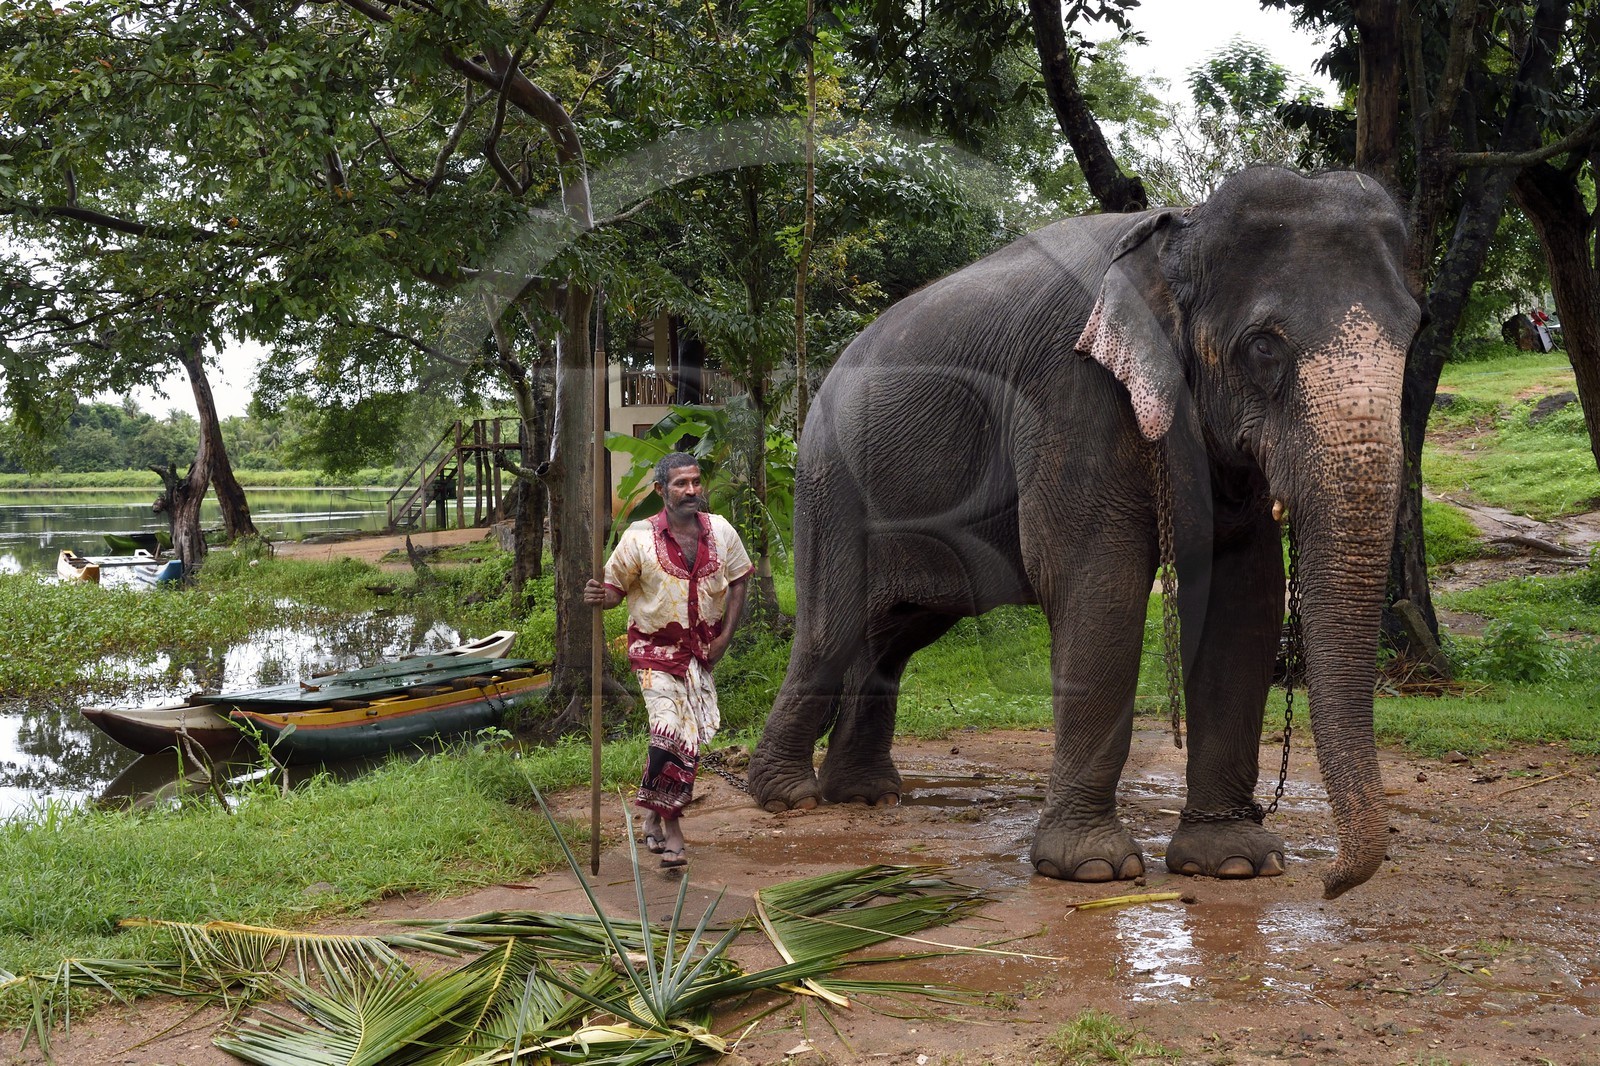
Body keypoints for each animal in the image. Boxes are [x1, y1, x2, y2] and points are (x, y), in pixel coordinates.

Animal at [747, 166, 1421, 900]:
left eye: (1414, 334)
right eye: (1264, 346)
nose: (1329, 884)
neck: (1182, 230)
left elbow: (1244, 599)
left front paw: (1236, 863)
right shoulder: (1071, 393)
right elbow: (1098, 583)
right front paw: (1092, 869)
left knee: (895, 634)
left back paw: (866, 795)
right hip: (828, 480)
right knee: (830, 628)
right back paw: (785, 798)